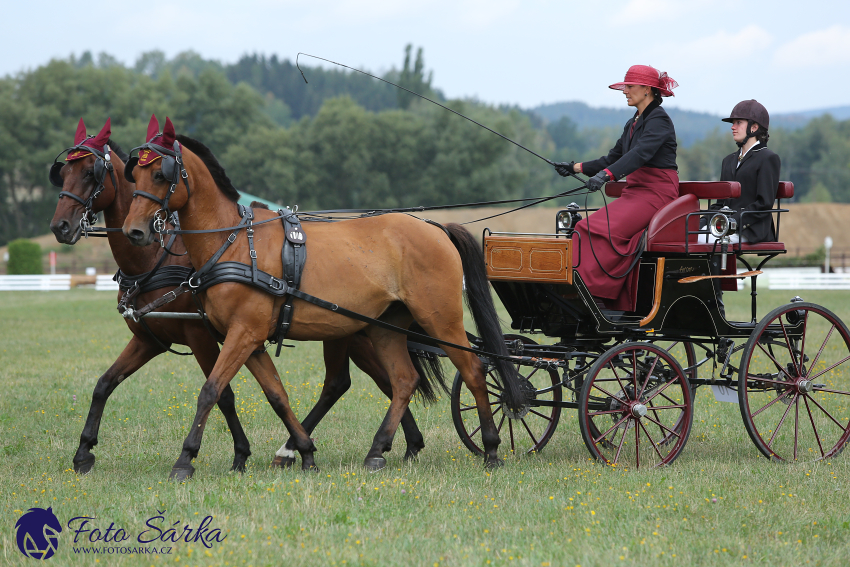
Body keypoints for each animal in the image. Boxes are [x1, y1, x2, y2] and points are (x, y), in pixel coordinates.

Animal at [48, 117, 430, 478]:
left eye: (90, 172)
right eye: (62, 173)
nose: (60, 226)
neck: (159, 257)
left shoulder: (202, 335)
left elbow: (223, 394)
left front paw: (228, 455)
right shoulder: (150, 339)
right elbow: (104, 384)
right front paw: (84, 452)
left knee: (361, 382)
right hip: (353, 331)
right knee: (375, 380)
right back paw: (404, 444)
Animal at [118, 117, 516, 482]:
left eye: (160, 175)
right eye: (133, 175)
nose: (133, 231)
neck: (233, 242)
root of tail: (436, 228)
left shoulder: (243, 333)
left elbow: (210, 390)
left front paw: (185, 459)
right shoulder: (252, 340)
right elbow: (276, 394)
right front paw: (305, 452)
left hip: (440, 320)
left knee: (474, 370)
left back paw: (492, 449)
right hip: (386, 328)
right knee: (404, 380)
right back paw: (377, 451)